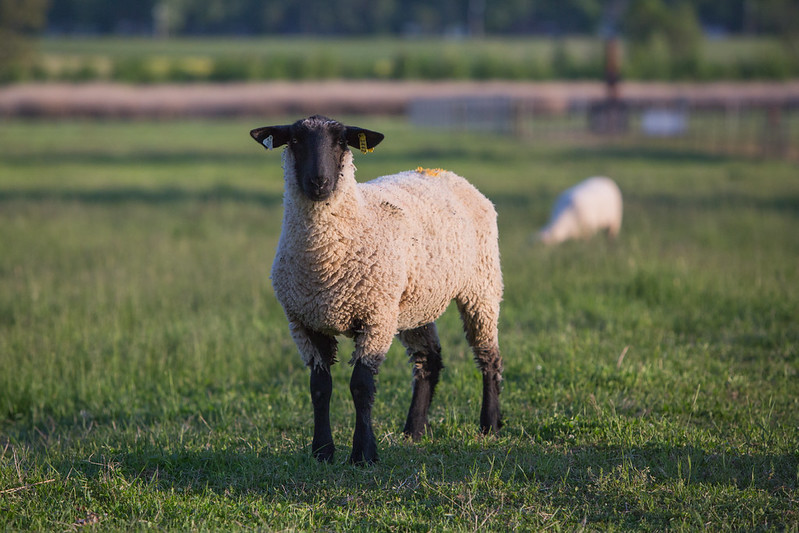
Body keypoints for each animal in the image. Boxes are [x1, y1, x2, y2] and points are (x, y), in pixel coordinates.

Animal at [250, 115, 503, 465]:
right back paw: (413, 431)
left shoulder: (375, 319)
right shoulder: (305, 324)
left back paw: (490, 425)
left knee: (488, 355)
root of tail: (447, 173)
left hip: (481, 285)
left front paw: (363, 453)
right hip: (414, 303)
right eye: (295, 140)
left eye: (341, 142)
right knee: (428, 360)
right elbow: (320, 387)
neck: (324, 259)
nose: (319, 182)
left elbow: (362, 386)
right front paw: (322, 451)